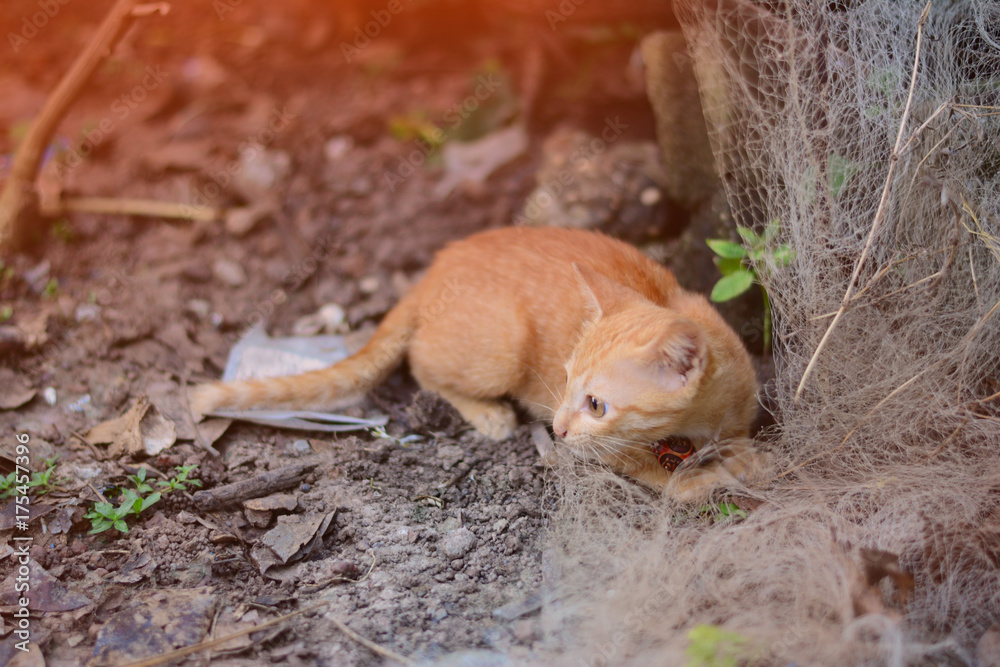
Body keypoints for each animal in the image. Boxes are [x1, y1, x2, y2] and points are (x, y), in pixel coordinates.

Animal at [191, 227, 760, 498]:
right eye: (564, 381)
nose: (556, 427)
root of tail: (431, 274)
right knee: (422, 366)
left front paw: (742, 455)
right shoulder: (608, 453)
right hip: (504, 345)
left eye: (596, 403)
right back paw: (487, 413)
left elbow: (736, 435)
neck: (695, 423)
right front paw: (702, 481)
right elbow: (657, 474)